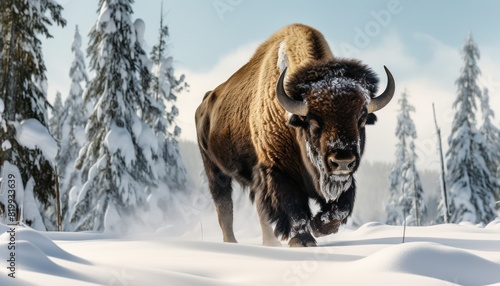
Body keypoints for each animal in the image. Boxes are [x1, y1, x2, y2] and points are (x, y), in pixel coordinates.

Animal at [195, 22, 394, 246]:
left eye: (361, 120)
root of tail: (205, 103)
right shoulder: (279, 171)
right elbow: (294, 208)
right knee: (224, 207)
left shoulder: (344, 181)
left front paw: (318, 226)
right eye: (314, 123)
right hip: (215, 171)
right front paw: (303, 240)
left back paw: (269, 243)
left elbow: (340, 209)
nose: (342, 161)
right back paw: (232, 243)